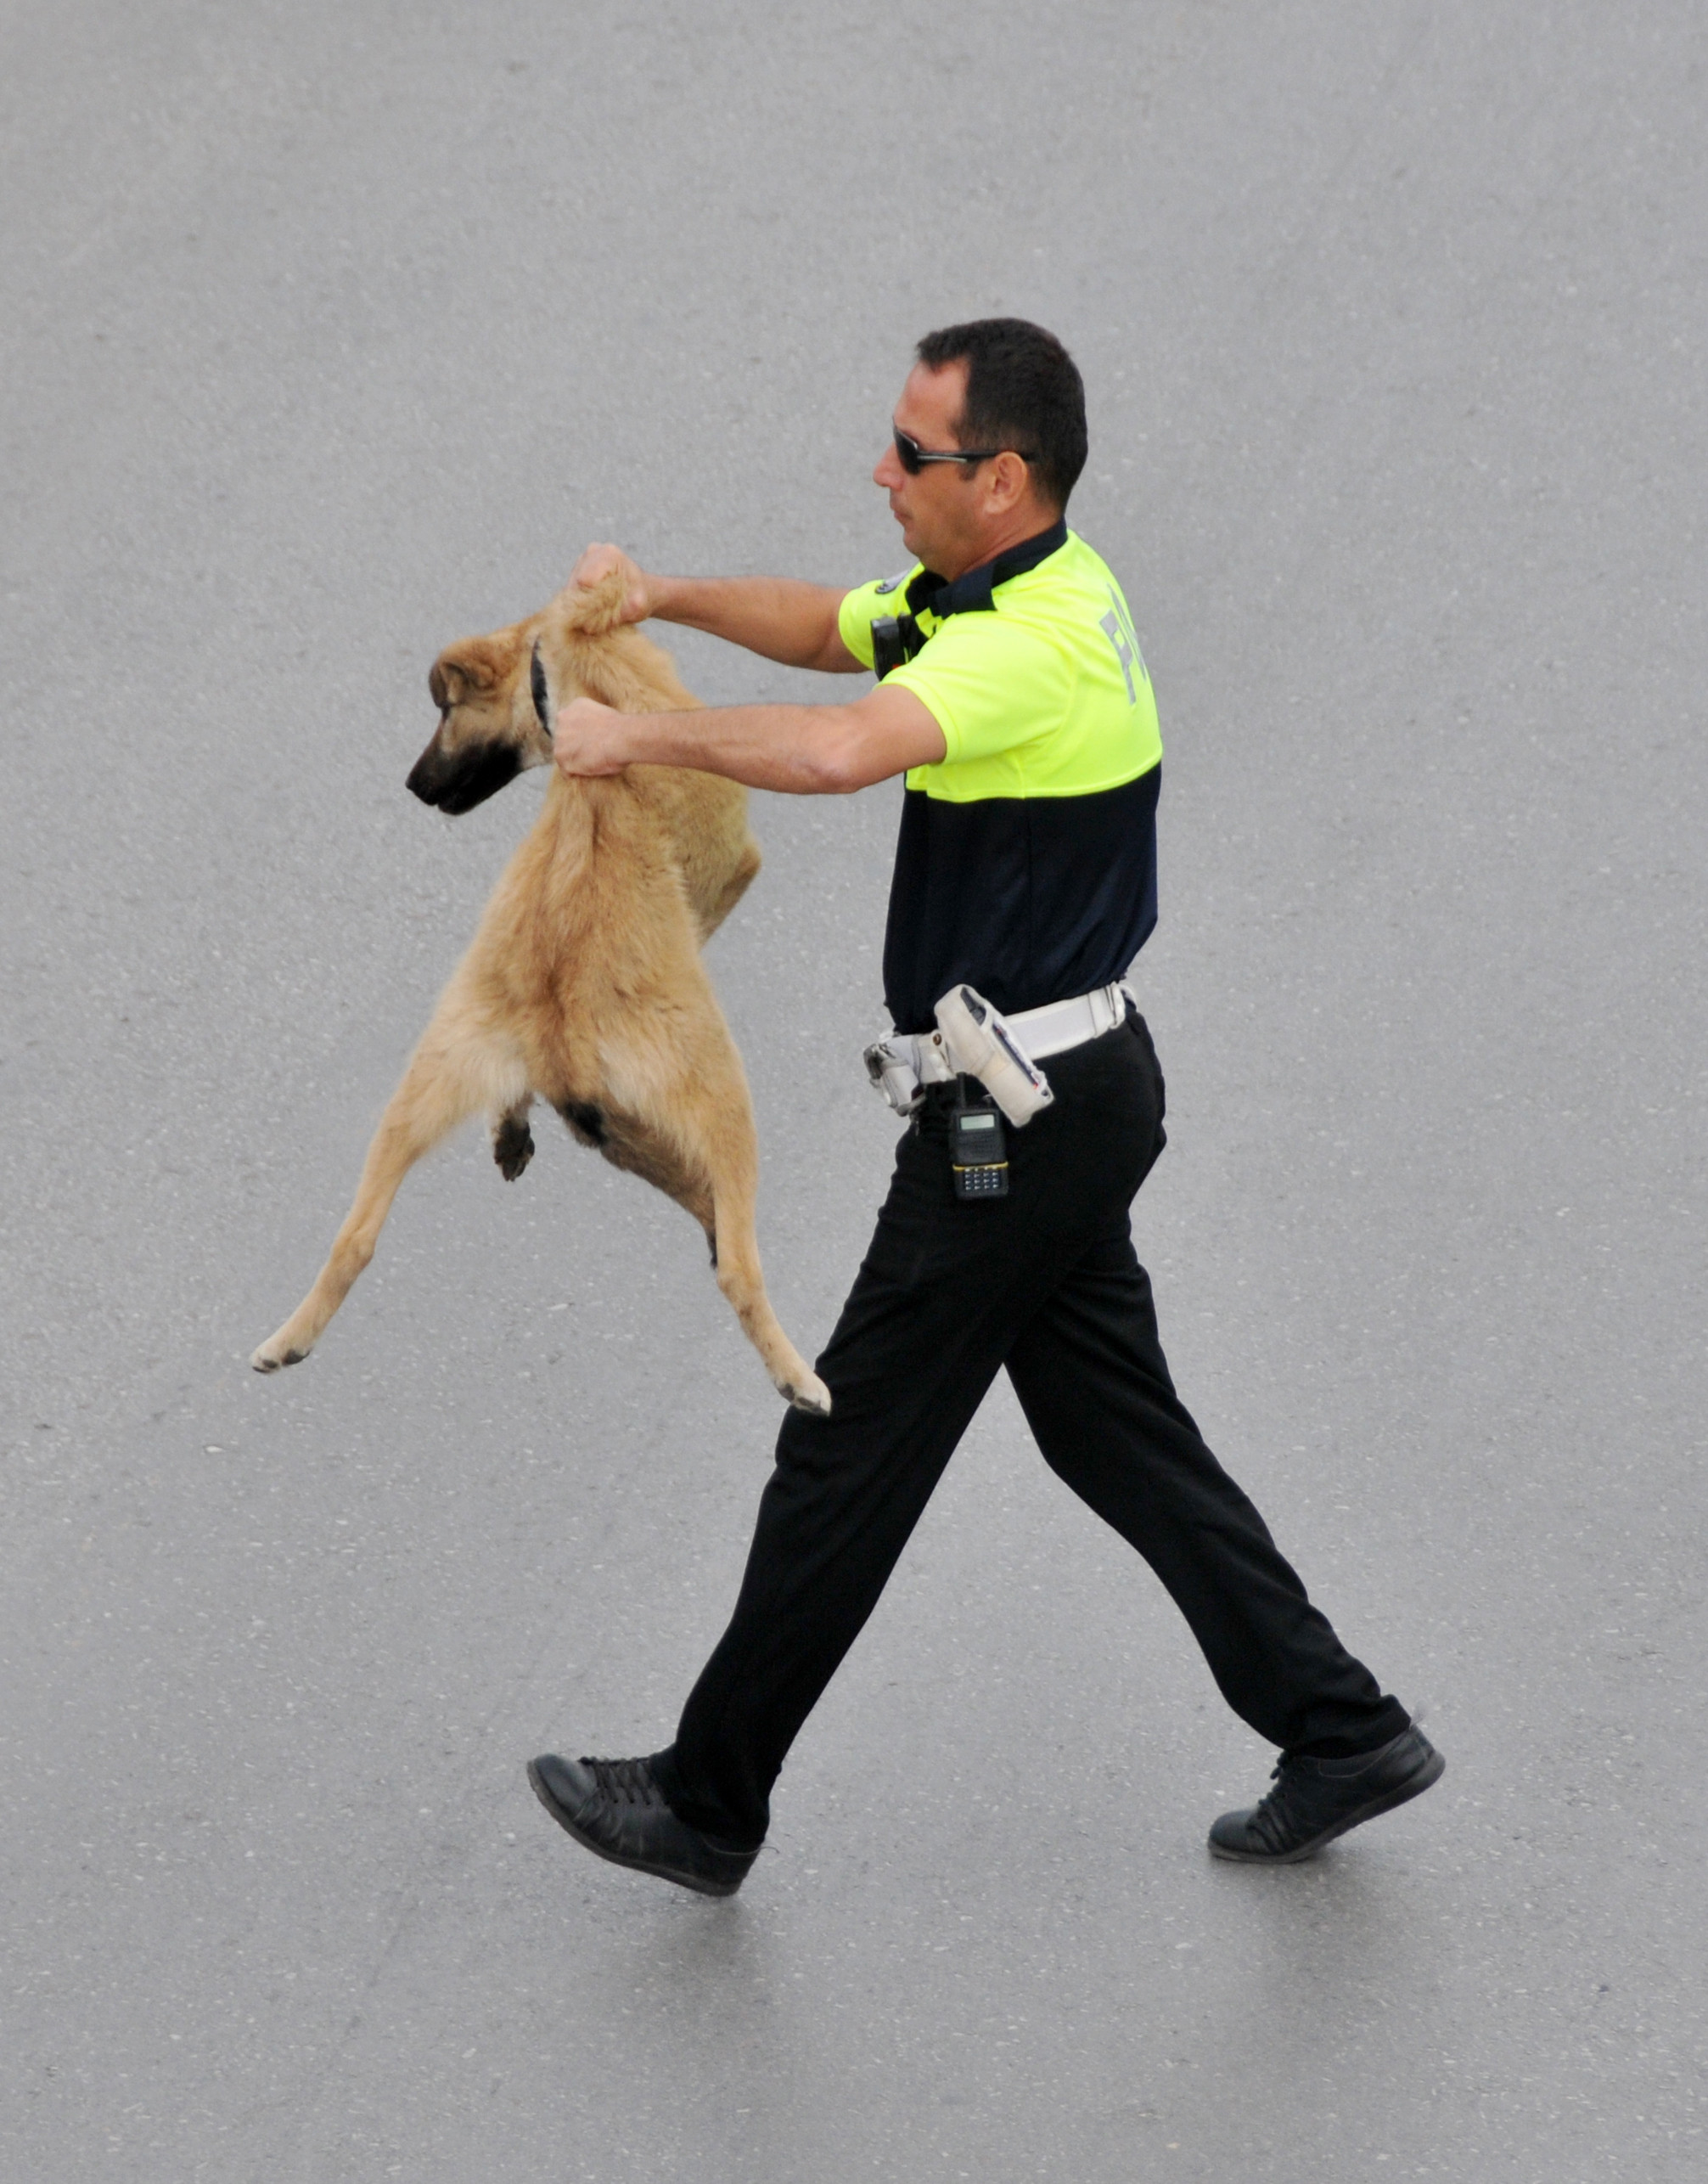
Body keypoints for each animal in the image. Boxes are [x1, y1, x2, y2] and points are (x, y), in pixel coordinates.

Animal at [254, 577, 834, 1415]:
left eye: (445, 710)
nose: (412, 786)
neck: (569, 678)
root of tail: (560, 1023)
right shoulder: (732, 872)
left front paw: (510, 1127)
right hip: (722, 1101)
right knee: (735, 1261)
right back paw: (796, 1375)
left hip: (426, 1089)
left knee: (355, 1237)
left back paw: (288, 1340)